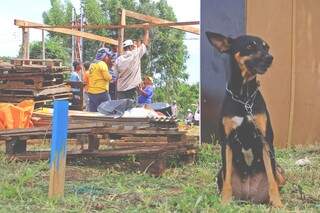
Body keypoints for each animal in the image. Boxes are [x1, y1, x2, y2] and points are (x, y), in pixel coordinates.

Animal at [206, 30, 286, 207]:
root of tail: (249, 197)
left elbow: (271, 180)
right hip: (218, 173)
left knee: (277, 178)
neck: (244, 96)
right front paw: (224, 203)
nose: (270, 58)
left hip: (280, 170)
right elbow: (227, 180)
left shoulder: (265, 140)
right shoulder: (227, 142)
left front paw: (278, 204)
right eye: (250, 46)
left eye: (266, 47)